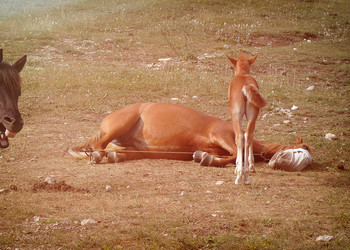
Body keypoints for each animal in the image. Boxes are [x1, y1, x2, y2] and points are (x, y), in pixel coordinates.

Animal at [67, 102, 310, 167]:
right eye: (301, 150)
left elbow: (229, 156)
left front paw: (205, 157)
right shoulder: (221, 135)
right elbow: (235, 155)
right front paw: (208, 159)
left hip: (137, 148)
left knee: (115, 151)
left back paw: (114, 156)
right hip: (118, 126)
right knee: (98, 147)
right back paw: (98, 156)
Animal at [227, 52, 266, 185]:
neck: (242, 74)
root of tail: (245, 85)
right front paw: (251, 166)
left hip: (236, 116)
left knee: (239, 137)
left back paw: (239, 176)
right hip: (252, 116)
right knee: (248, 136)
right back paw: (247, 176)